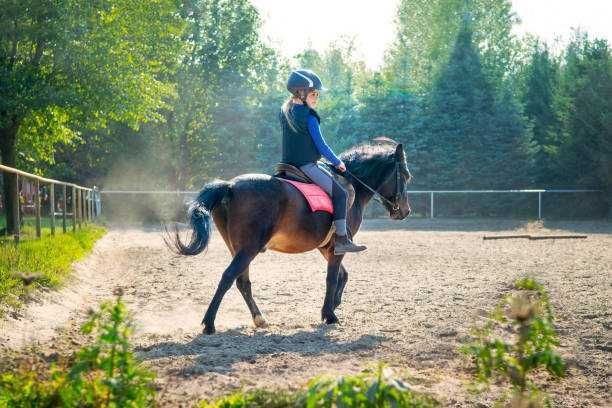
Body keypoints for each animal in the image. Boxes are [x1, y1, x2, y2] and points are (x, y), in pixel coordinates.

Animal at [165, 139, 414, 334]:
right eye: (406, 175)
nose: (405, 211)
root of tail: (230, 186)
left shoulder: (327, 247)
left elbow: (343, 276)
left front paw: (333, 305)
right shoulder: (338, 246)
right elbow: (332, 278)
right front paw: (329, 315)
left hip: (239, 248)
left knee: (242, 281)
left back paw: (259, 319)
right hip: (249, 248)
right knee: (228, 277)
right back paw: (209, 324)